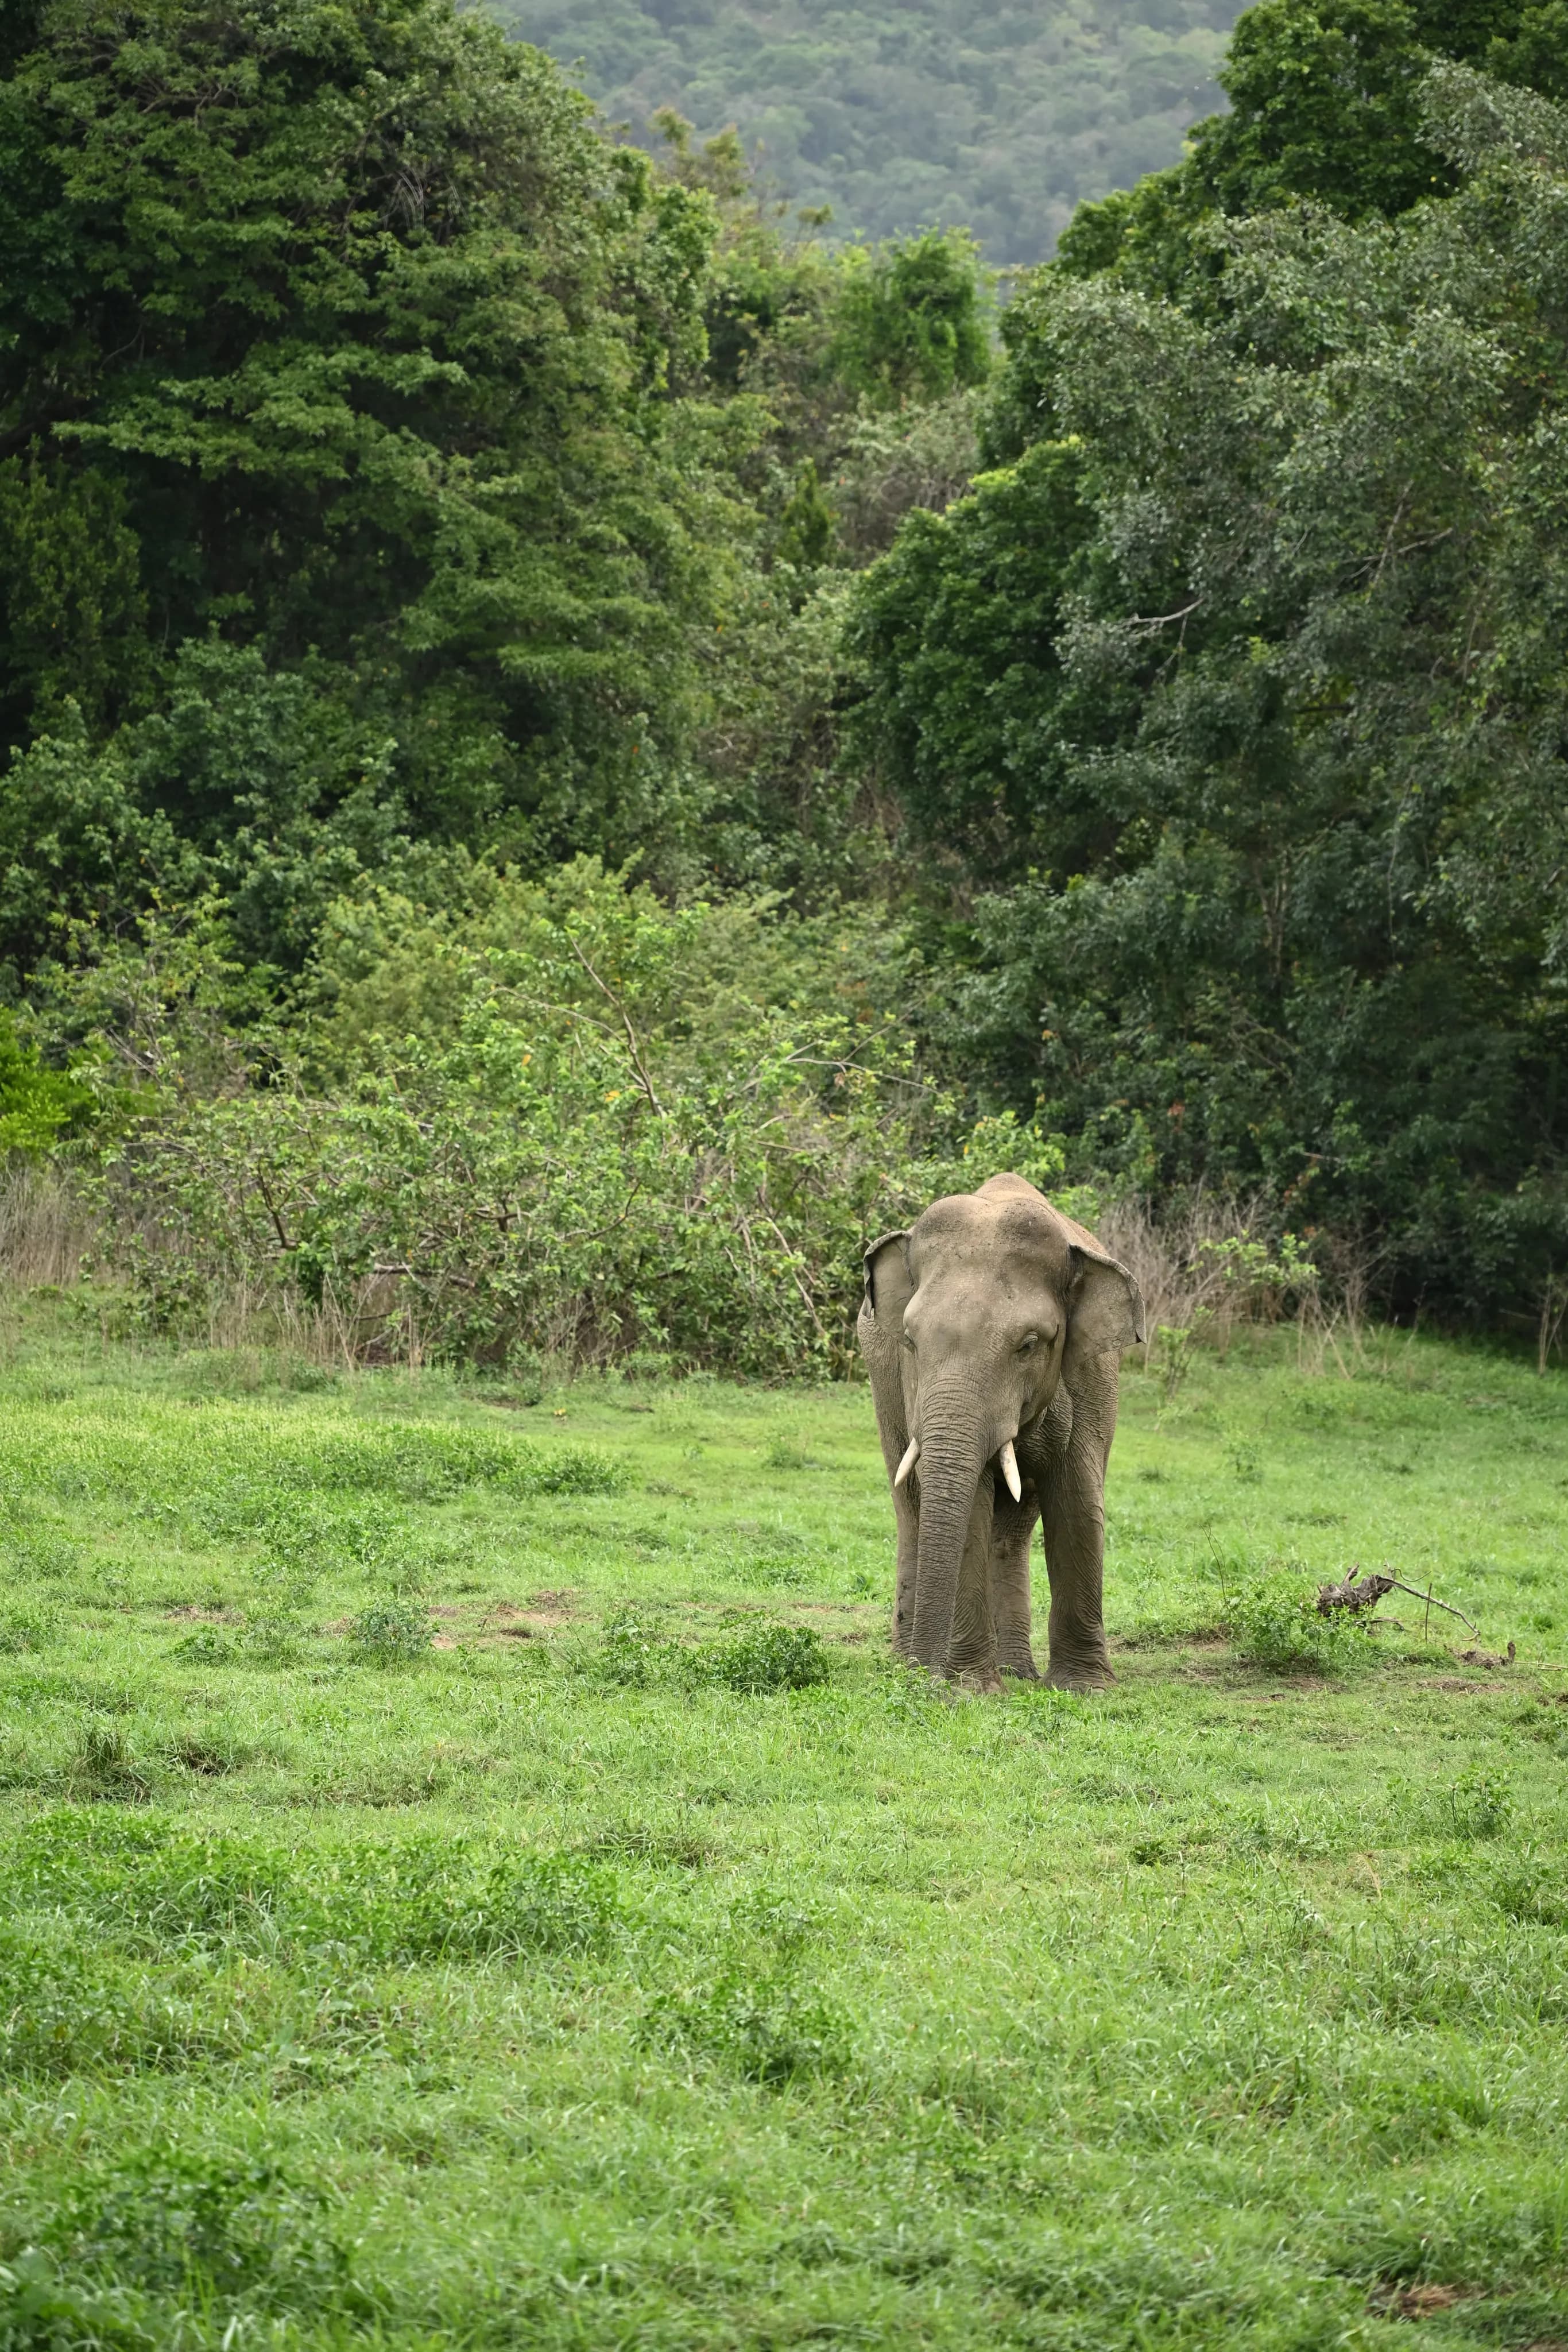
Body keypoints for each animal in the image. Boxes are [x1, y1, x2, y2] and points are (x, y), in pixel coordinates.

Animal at [858, 1173, 1145, 1693]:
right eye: (909, 1341)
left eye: (1028, 1345)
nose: (928, 1684)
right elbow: (968, 1499)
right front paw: (972, 1690)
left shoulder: (1094, 1374)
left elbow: (1076, 1497)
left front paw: (1084, 1689)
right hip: (881, 1385)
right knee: (909, 1507)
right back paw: (914, 1663)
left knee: (1012, 1530)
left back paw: (1016, 1672)